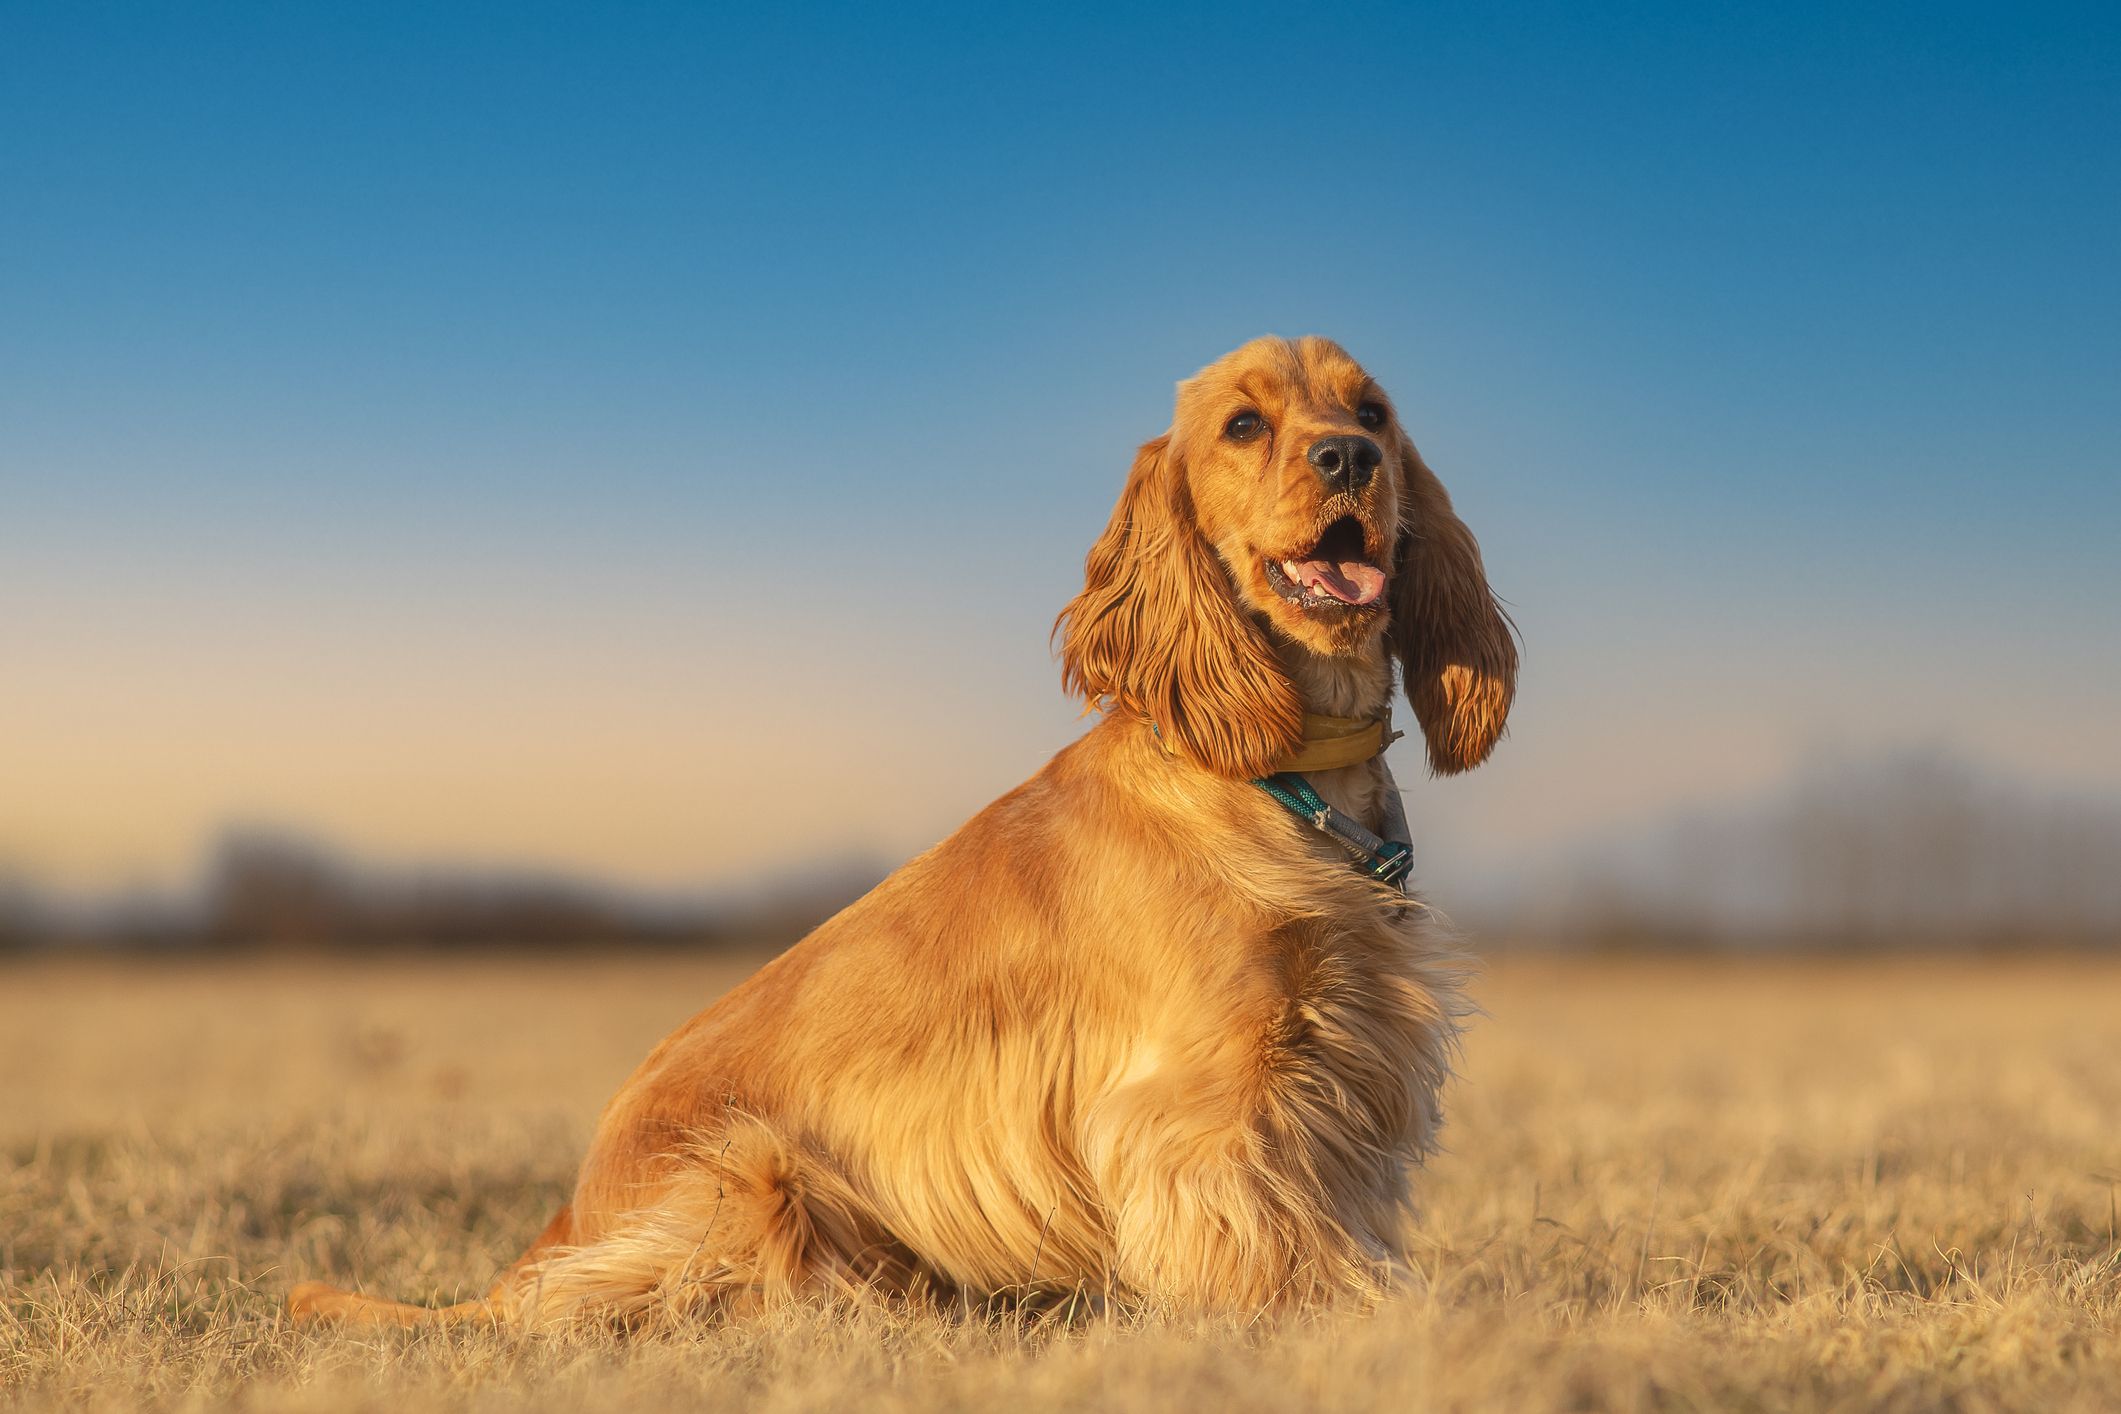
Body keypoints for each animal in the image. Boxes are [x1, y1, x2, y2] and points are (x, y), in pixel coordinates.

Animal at [294, 334, 1527, 1331]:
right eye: (1244, 424)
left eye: (1373, 413)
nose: (1349, 461)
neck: (1283, 773)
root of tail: (552, 1230)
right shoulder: (1207, 1095)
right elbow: (1265, 1233)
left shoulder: (1341, 1054)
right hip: (753, 1168)